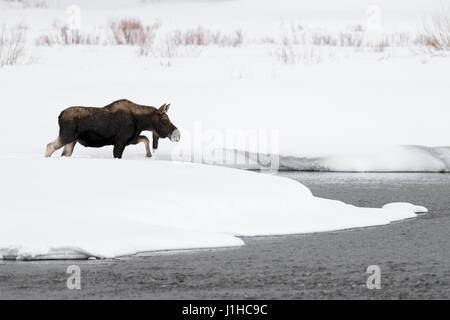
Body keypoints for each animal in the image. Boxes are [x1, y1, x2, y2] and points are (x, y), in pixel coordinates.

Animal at [45, 99, 179, 159]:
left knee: (64, 154)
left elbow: (145, 138)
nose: (177, 134)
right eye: (165, 119)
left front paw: (149, 155)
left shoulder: (130, 139)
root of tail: (60, 115)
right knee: (50, 146)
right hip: (66, 136)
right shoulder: (120, 142)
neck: (141, 122)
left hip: (72, 140)